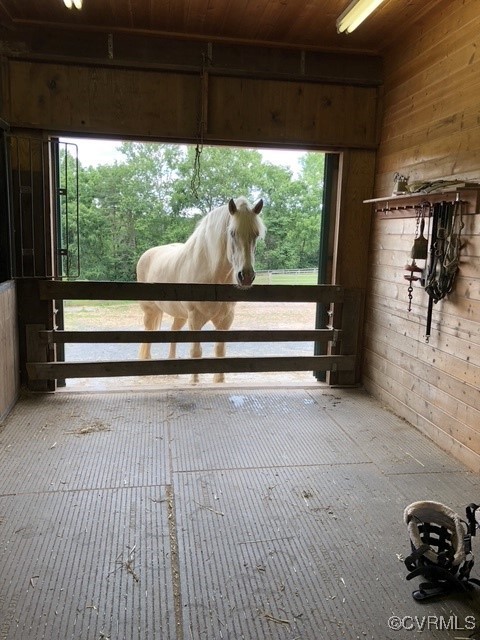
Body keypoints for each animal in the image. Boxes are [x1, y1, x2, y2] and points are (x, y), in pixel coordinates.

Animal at [136, 197, 265, 382]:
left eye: (256, 234)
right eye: (232, 233)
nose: (246, 276)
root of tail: (146, 255)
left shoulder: (225, 320)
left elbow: (220, 350)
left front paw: (219, 380)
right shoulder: (195, 319)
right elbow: (196, 352)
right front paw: (194, 381)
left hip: (179, 315)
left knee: (174, 332)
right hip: (150, 312)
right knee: (148, 333)